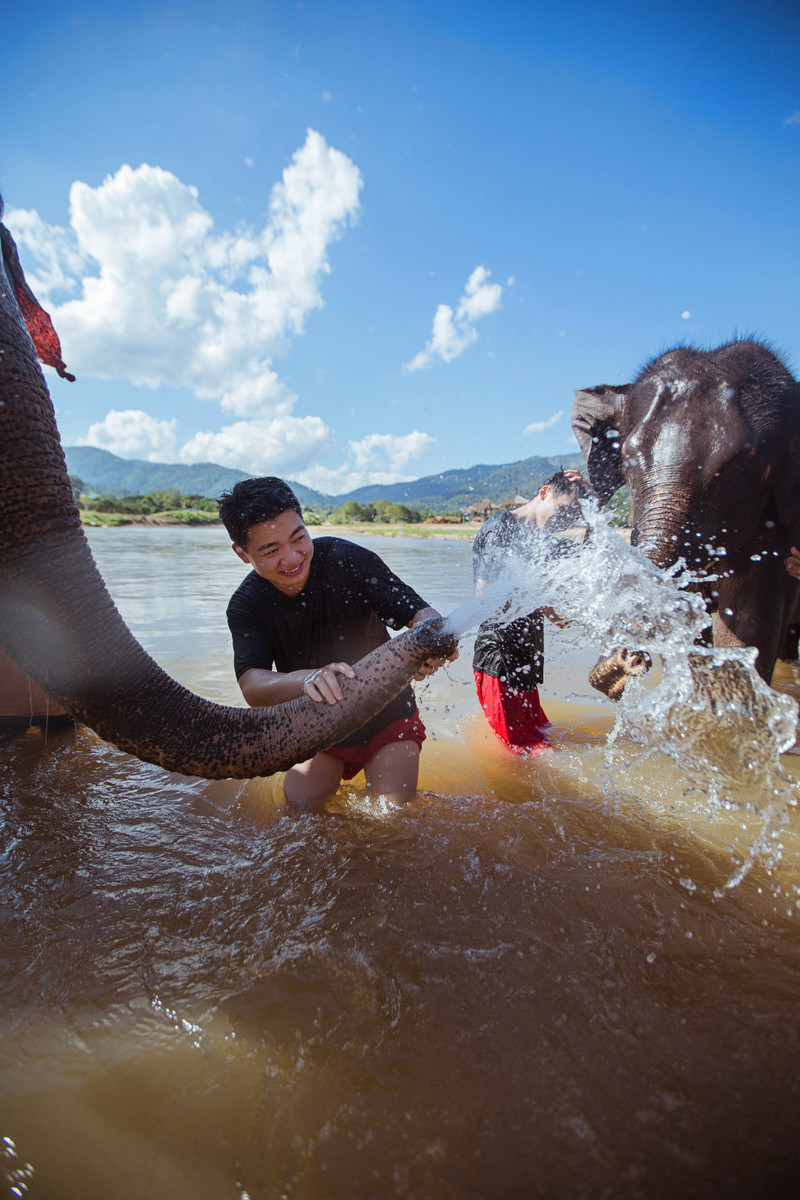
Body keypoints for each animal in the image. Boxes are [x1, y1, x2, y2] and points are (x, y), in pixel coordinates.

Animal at [0, 196, 455, 777]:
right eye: (273, 549)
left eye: (300, 540)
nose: (438, 633)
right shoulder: (238, 609)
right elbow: (252, 674)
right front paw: (324, 679)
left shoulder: (360, 557)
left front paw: (423, 620)